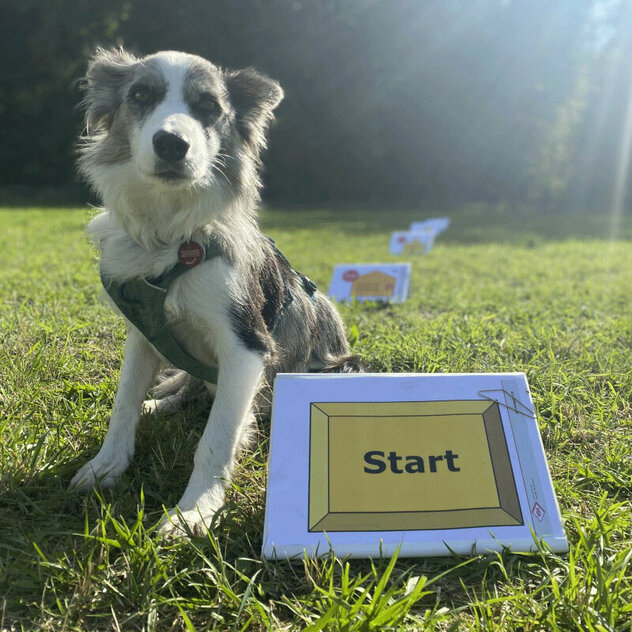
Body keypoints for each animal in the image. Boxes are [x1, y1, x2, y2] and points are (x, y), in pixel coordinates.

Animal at [71, 47, 358, 536]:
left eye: (208, 106)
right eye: (140, 95)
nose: (172, 144)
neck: (173, 235)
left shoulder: (246, 345)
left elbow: (217, 435)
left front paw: (194, 511)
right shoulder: (143, 333)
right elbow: (124, 403)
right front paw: (106, 464)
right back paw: (160, 403)